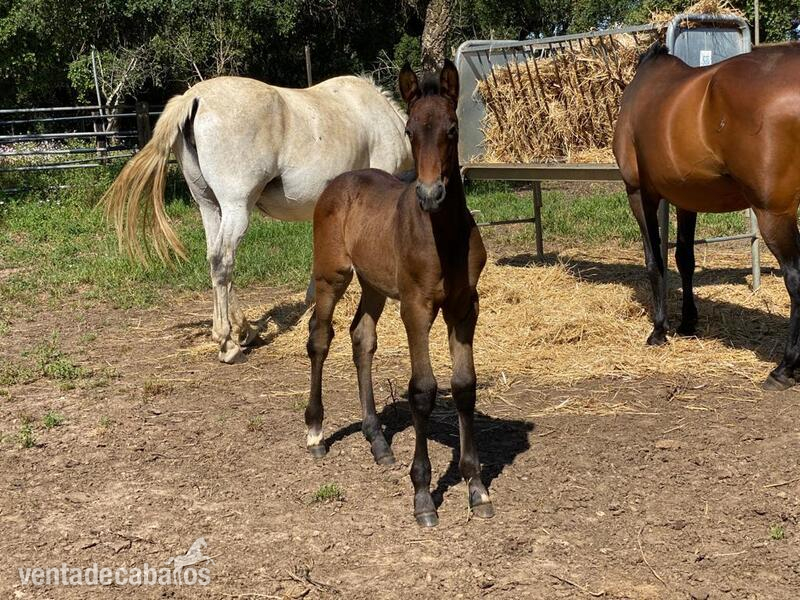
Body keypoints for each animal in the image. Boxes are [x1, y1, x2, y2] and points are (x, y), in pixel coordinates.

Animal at [102, 75, 412, 363]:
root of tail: (193, 98)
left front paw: (313, 300)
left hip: (209, 206)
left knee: (215, 260)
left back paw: (244, 331)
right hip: (236, 207)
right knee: (223, 260)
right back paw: (228, 344)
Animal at [305, 60, 494, 527]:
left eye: (451, 129)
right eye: (409, 130)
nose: (430, 194)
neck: (442, 236)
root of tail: (340, 181)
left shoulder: (465, 307)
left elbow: (464, 385)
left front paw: (476, 487)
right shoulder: (416, 307)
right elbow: (422, 390)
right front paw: (424, 494)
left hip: (373, 284)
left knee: (361, 337)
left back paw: (377, 439)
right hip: (332, 275)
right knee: (320, 337)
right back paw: (316, 433)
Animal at [613, 42, 800, 391]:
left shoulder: (639, 194)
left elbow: (654, 261)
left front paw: (659, 330)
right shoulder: (687, 198)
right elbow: (685, 259)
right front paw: (688, 323)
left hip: (773, 214)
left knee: (795, 278)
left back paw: (784, 368)